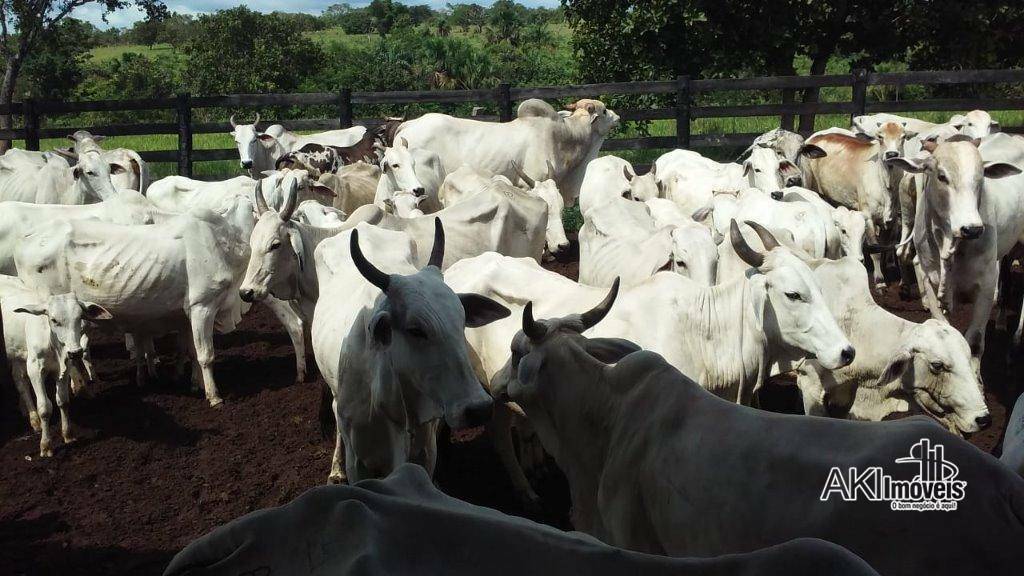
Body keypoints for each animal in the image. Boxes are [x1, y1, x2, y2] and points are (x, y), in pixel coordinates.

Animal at [884, 134, 1019, 366]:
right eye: (941, 176)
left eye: (981, 177)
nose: (972, 229)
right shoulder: (930, 281)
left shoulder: (986, 285)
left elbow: (974, 342)